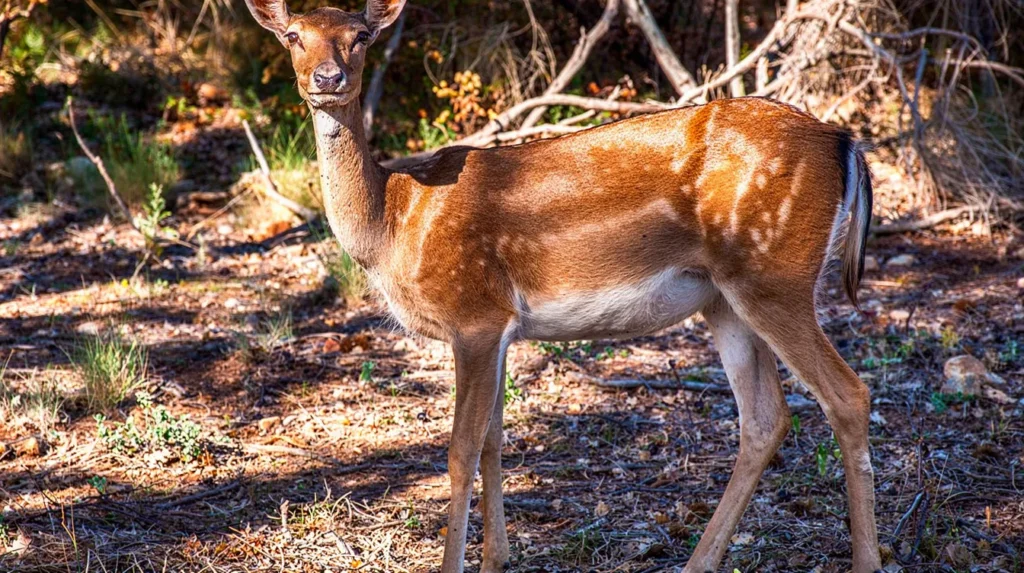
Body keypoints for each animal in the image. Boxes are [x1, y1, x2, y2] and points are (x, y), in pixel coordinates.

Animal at [243, 0, 882, 571]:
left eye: (361, 36)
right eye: (294, 35)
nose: (328, 79)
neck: (392, 225)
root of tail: (846, 143)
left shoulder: (473, 313)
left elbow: (460, 450)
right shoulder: (500, 328)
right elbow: (494, 441)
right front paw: (496, 559)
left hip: (775, 275)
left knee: (847, 394)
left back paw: (864, 561)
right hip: (724, 300)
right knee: (765, 418)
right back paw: (698, 562)